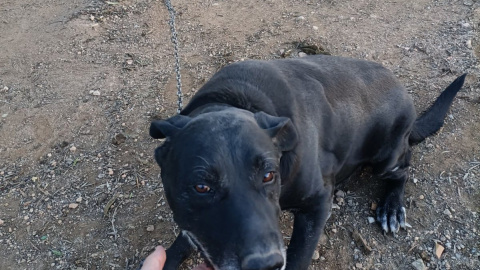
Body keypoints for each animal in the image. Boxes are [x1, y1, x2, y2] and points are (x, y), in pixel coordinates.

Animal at [150, 54, 464, 270]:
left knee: (404, 168)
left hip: (385, 157)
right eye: (201, 187)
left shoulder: (317, 204)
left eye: (269, 175)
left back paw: (392, 207)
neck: (235, 100)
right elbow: (185, 238)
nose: (265, 264)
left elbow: (298, 257)